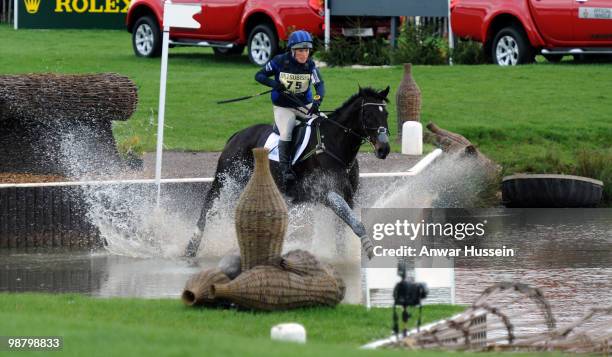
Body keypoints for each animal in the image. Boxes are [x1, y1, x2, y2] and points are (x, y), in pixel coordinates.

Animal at [184, 86, 390, 258]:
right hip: (226, 180)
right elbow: (356, 224)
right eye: (369, 115)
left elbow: (343, 229)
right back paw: (190, 249)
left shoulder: (348, 197)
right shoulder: (328, 193)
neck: (334, 144)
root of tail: (237, 136)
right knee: (207, 209)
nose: (384, 149)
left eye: (386, 114)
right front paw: (370, 251)